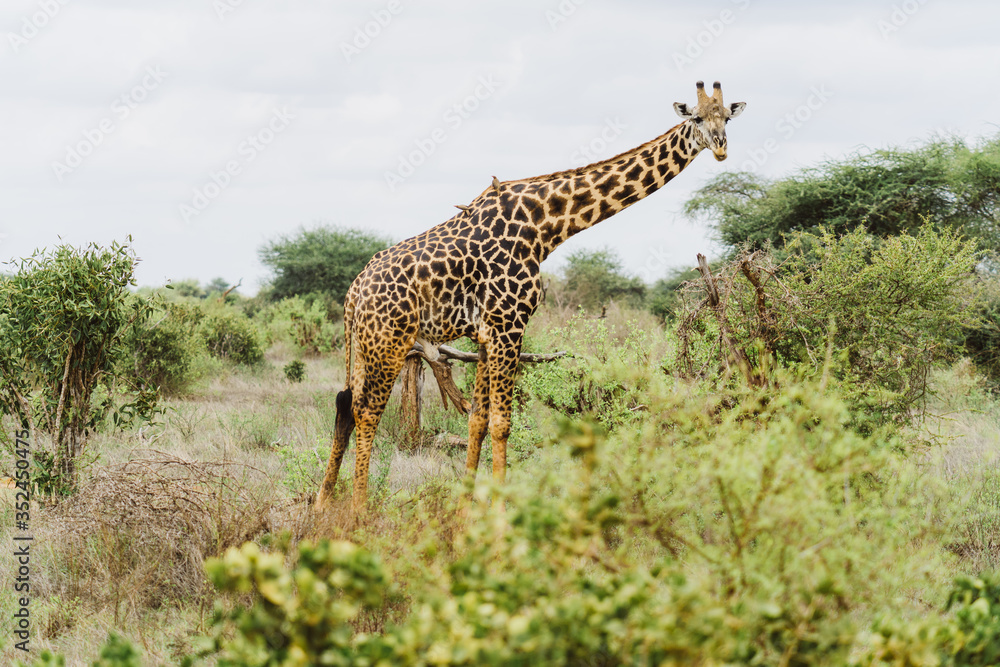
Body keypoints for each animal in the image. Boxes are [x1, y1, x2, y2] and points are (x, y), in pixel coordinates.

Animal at [316, 81, 745, 511]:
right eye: (696, 118)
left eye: (726, 117)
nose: (722, 147)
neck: (546, 226)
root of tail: (353, 293)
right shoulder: (510, 325)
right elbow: (502, 423)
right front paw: (502, 511)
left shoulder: (486, 333)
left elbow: (477, 419)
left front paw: (466, 509)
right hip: (389, 342)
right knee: (367, 411)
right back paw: (359, 509)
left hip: (364, 344)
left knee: (344, 404)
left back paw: (322, 502)